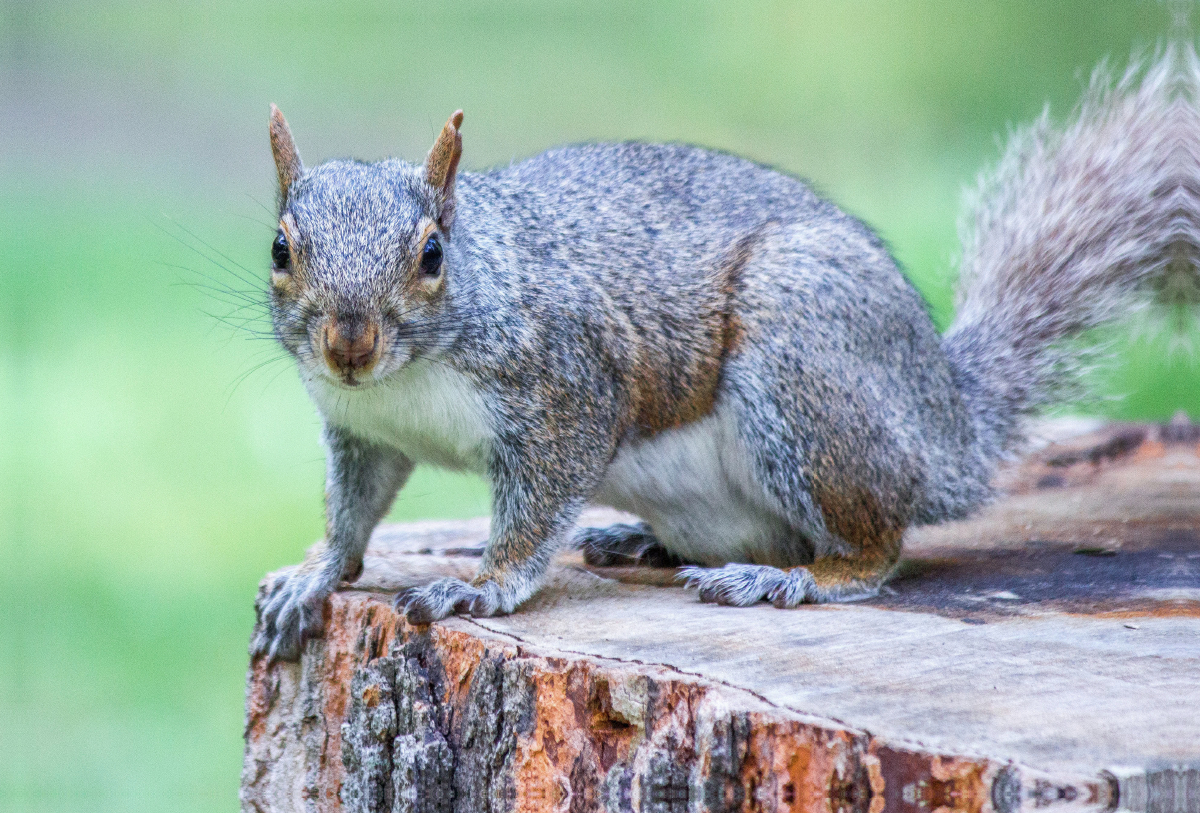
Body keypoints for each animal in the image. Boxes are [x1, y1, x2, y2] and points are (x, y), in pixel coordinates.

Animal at [250, 49, 1190, 661]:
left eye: (433, 253)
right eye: (280, 248)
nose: (348, 341)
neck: (406, 378)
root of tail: (948, 425)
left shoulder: (569, 390)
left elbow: (535, 509)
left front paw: (482, 585)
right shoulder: (362, 430)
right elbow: (353, 510)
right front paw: (315, 574)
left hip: (804, 370)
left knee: (878, 543)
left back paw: (795, 579)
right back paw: (643, 541)